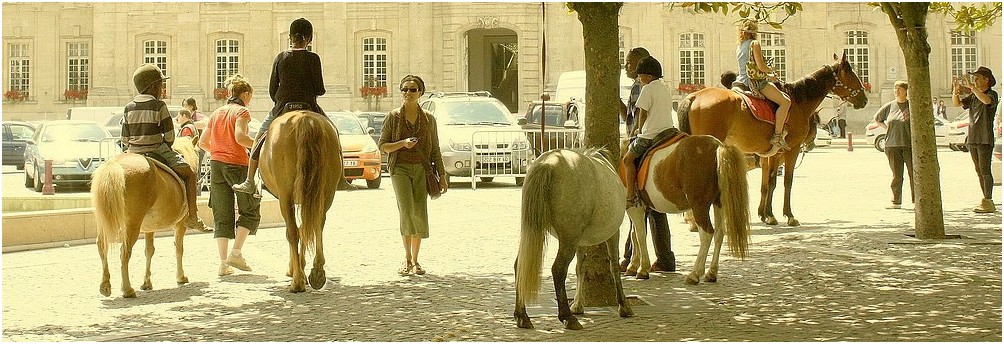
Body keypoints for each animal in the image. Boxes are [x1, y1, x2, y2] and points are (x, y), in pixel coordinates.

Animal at [94, 136, 201, 296]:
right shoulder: (181, 224)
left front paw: (146, 282)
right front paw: (181, 277)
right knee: (124, 252)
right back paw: (127, 289)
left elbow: (149, 251)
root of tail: (114, 165)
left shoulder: (150, 228)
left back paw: (105, 284)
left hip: (105, 221)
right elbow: (178, 248)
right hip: (132, 225)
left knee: (102, 245)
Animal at [257, 111, 343, 292]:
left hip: (286, 196)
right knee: (316, 224)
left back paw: (297, 282)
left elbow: (293, 231)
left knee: (292, 231)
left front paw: (296, 270)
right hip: (325, 194)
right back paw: (317, 272)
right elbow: (305, 227)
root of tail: (304, 119)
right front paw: (303, 268)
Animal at [514, 148, 630, 330]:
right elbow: (614, 266)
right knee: (558, 269)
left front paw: (578, 304)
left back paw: (522, 316)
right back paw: (567, 317)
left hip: (538, 231)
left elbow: (580, 268)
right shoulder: (613, 234)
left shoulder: (581, 241)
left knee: (520, 265)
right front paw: (623, 305)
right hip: (569, 239)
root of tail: (549, 162)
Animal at [622, 136, 750, 284]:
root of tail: (717, 146)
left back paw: (695, 273)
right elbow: (634, 234)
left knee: (707, 234)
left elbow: (640, 235)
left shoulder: (634, 208)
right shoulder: (641, 209)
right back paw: (711, 273)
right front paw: (633, 265)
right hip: (719, 203)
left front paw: (642, 268)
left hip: (699, 207)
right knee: (719, 233)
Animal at [678, 52, 867, 226]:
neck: (796, 102)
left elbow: (769, 183)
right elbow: (786, 181)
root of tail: (693, 96)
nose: (864, 99)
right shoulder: (791, 149)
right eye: (852, 74)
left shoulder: (772, 154)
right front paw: (788, 215)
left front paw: (767, 214)